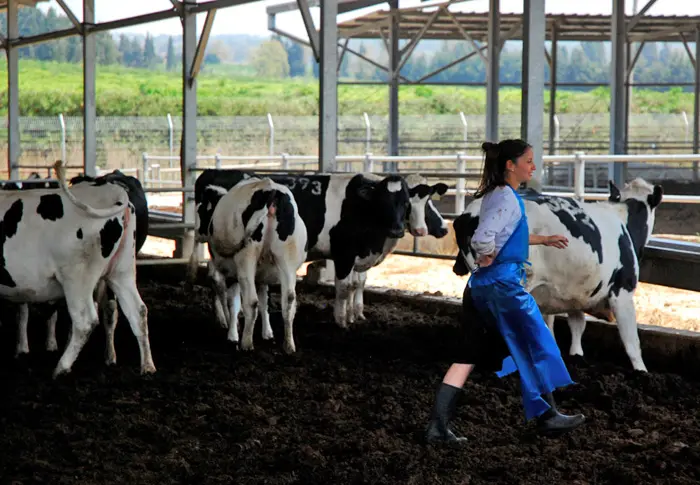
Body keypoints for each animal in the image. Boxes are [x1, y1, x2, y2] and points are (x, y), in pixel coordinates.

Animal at [0, 161, 154, 376]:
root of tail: (113, 190)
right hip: (121, 272)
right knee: (137, 311)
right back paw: (147, 366)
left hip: (77, 278)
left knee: (85, 320)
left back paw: (62, 367)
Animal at [206, 177, 308, 352]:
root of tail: (270, 189)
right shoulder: (262, 276)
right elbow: (264, 302)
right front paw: (267, 333)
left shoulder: (232, 272)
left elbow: (233, 302)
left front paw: (232, 334)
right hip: (287, 261)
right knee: (288, 300)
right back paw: (288, 345)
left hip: (246, 258)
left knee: (250, 301)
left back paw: (246, 343)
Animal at [454, 178, 660, 370]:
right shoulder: (622, 291)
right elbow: (631, 340)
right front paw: (641, 371)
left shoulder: (572, 292)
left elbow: (575, 324)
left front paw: (575, 354)